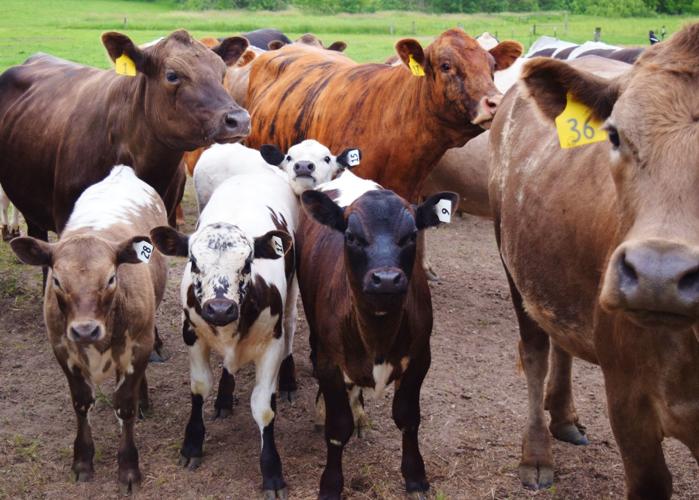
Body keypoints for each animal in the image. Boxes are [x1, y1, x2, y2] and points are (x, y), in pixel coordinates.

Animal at [9, 165, 167, 494]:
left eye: (110, 278)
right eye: (57, 281)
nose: (84, 331)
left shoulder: (139, 345)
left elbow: (126, 404)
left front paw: (128, 467)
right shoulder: (62, 348)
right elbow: (81, 402)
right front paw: (82, 461)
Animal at [149, 163, 298, 498]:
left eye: (248, 262)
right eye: (193, 261)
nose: (220, 309)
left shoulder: (271, 344)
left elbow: (263, 407)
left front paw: (272, 470)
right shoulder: (191, 334)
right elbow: (200, 386)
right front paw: (192, 443)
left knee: (292, 326)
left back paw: (289, 381)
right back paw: (224, 399)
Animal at [296, 169, 457, 499]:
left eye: (411, 236)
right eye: (351, 237)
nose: (386, 279)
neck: (378, 336)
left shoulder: (420, 358)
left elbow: (408, 418)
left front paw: (415, 477)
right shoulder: (329, 361)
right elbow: (337, 427)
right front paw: (330, 484)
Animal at [488, 24, 699, 498]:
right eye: (615, 135)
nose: (658, 274)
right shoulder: (628, 404)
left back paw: (563, 415)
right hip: (513, 265)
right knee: (535, 351)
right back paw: (537, 453)